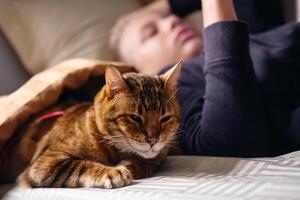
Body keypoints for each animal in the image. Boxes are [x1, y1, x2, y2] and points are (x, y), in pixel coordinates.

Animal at [18, 60, 182, 188]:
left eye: (165, 118)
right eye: (135, 117)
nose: (153, 140)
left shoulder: (156, 160)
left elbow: (146, 165)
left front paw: (131, 165)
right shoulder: (45, 162)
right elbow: (81, 165)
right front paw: (112, 171)